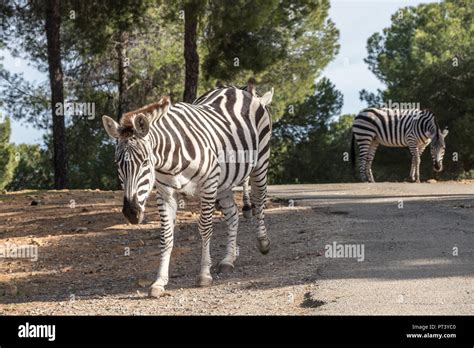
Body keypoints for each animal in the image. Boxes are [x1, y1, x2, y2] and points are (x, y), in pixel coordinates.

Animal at [103, 84, 274, 296]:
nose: (131, 213)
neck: (169, 159)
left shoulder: (208, 185)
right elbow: (166, 236)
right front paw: (159, 282)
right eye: (117, 164)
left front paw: (204, 275)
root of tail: (236, 88)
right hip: (224, 181)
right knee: (233, 214)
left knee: (259, 201)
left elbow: (205, 229)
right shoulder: (165, 194)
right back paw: (228, 260)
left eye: (144, 161)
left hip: (260, 163)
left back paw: (263, 242)